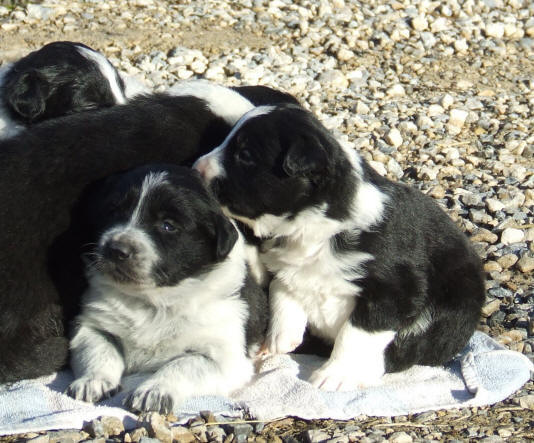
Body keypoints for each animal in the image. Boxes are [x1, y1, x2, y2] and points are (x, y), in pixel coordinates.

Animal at [66, 165, 268, 414]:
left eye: (168, 226)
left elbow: (185, 364)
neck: (153, 300)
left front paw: (154, 391)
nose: (116, 249)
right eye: (113, 212)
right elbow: (98, 349)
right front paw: (93, 381)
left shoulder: (226, 357)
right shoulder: (91, 324)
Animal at [195, 104, 488, 392]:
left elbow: (357, 333)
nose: (196, 168)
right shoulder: (288, 266)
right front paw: (278, 339)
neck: (314, 226)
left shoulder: (394, 290)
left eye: (245, 155)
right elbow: (282, 290)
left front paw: (336, 374)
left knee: (404, 351)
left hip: (451, 310)